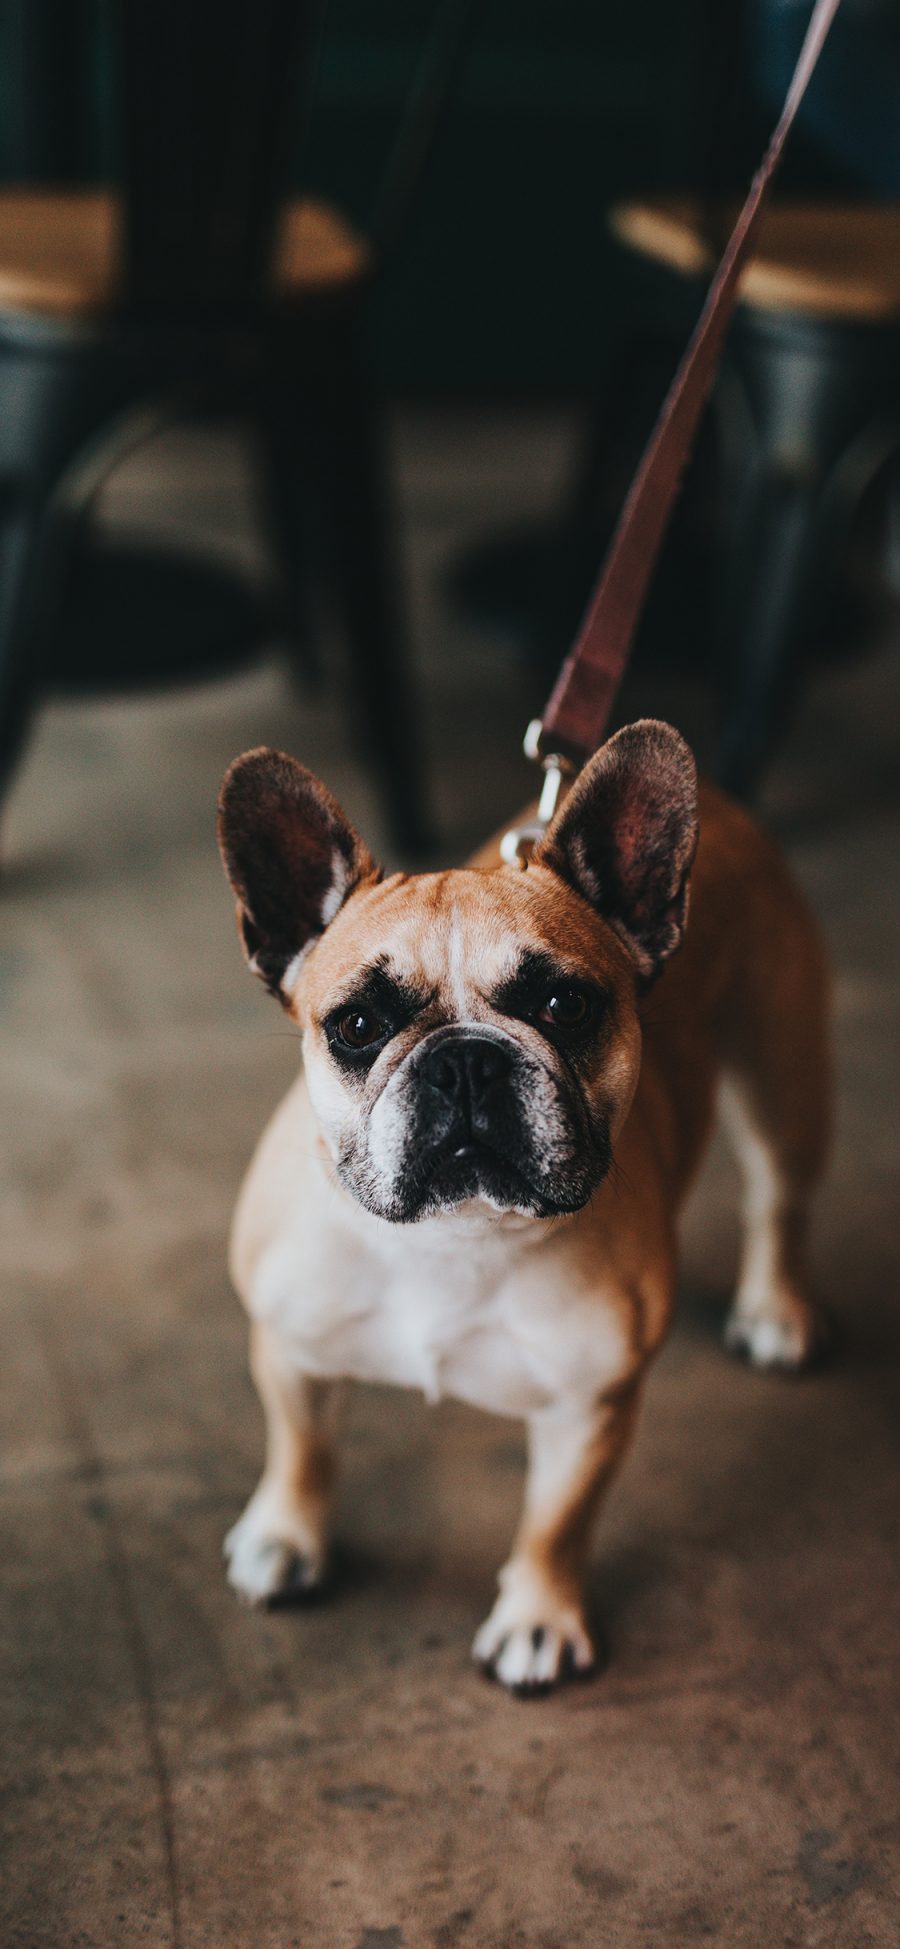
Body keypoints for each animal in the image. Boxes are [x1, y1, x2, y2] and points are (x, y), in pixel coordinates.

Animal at [212, 725, 829, 1699]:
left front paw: (538, 1619)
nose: (464, 1060)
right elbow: (300, 1447)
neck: (454, 1239)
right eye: (356, 1025)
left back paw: (774, 1308)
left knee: (779, 1195)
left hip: (782, 1073)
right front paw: (286, 1534)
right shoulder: (289, 1344)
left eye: (565, 1004)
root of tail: (730, 808)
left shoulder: (590, 1407)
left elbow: (554, 1523)